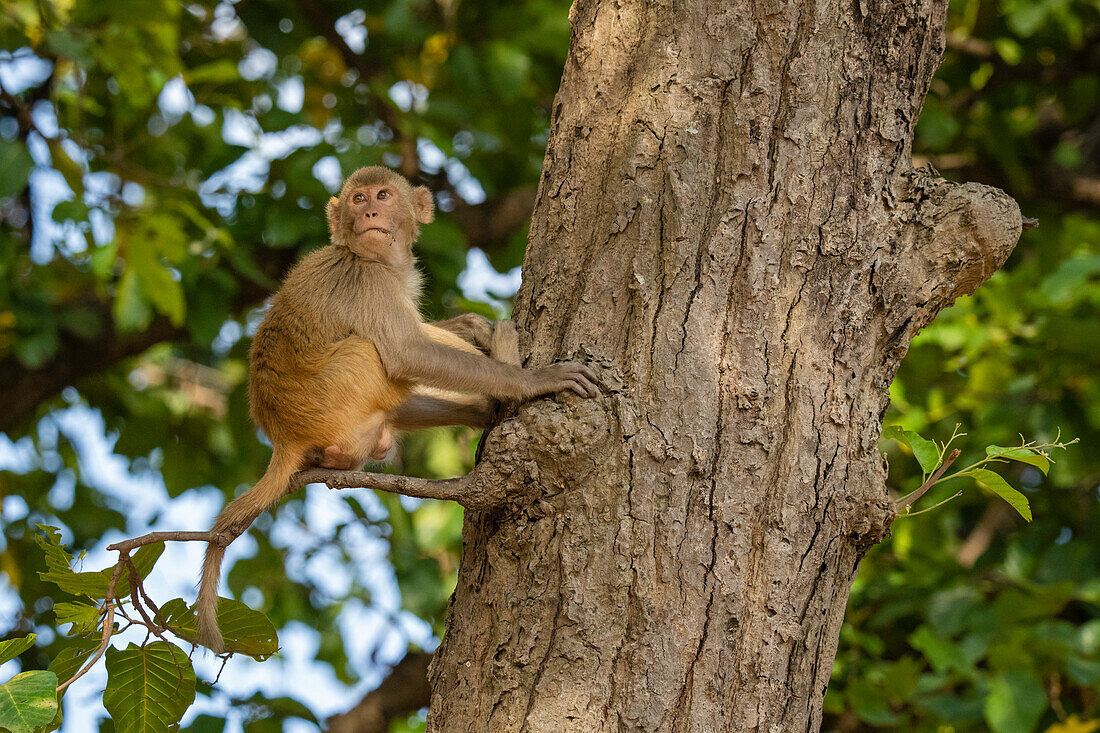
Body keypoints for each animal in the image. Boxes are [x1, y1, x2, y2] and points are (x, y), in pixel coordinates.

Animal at [193, 167, 598, 651]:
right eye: (358, 199)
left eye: (383, 196)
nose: (368, 213)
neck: (374, 260)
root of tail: (284, 437)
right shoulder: (368, 281)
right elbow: (407, 353)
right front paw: (531, 381)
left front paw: (472, 331)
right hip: (341, 390)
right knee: (373, 349)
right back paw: (505, 359)